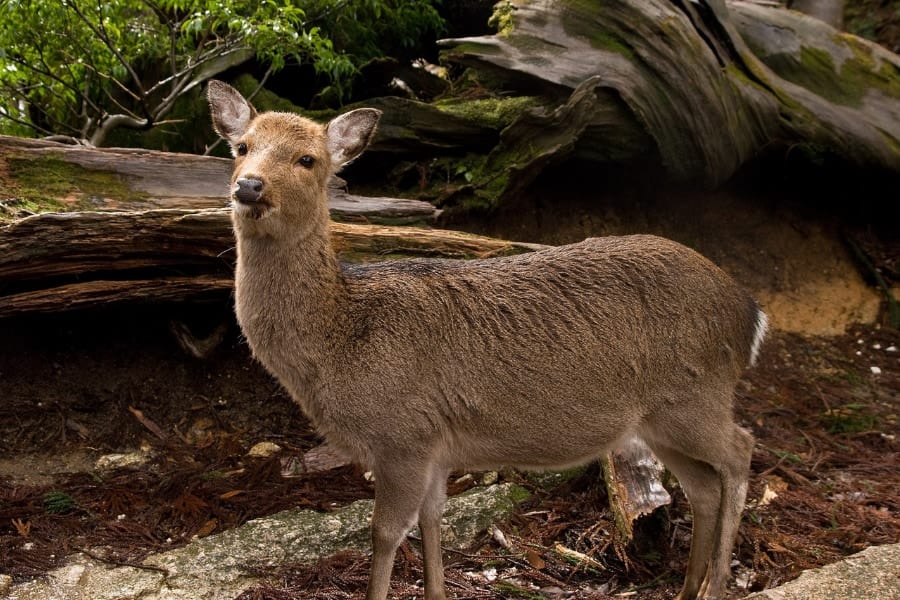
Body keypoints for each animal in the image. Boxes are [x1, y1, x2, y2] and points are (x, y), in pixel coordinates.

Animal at [209, 81, 768, 600]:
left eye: (308, 159)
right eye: (241, 146)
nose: (249, 186)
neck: (339, 341)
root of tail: (750, 313)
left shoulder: (403, 435)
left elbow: (385, 533)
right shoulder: (435, 447)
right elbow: (431, 521)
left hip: (696, 396)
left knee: (741, 451)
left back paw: (717, 584)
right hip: (660, 418)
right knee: (703, 486)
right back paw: (689, 588)